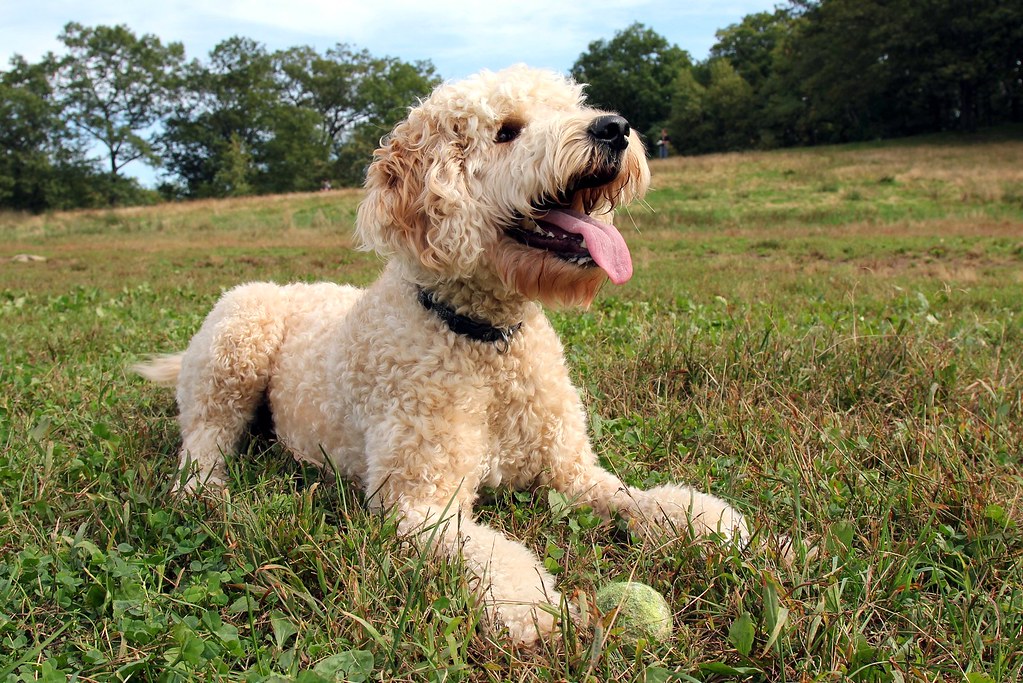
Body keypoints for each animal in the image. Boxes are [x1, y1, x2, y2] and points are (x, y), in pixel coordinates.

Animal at [138, 66, 752, 650]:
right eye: (506, 131)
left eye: (572, 105)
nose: (615, 128)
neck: (484, 341)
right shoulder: (418, 502)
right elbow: (495, 554)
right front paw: (532, 605)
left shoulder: (568, 469)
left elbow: (629, 497)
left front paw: (698, 519)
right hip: (237, 334)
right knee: (203, 440)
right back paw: (209, 493)